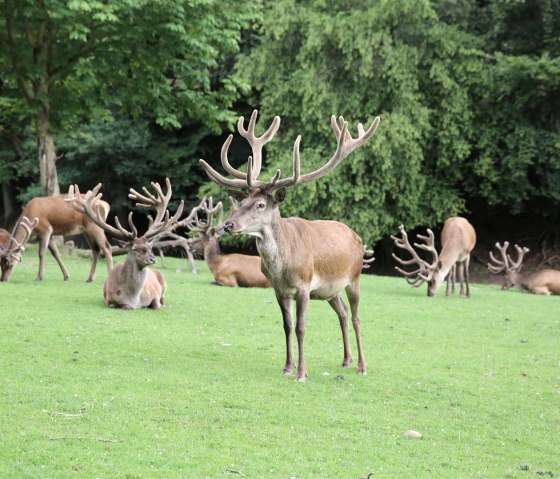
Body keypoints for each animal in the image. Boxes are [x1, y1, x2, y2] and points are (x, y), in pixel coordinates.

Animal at [66, 178, 188, 310]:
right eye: (135, 249)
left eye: (150, 247)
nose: (153, 259)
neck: (134, 298)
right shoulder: (110, 300)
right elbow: (125, 306)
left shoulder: (153, 295)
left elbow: (156, 304)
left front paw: (158, 305)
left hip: (164, 281)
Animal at [199, 109, 378, 382]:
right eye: (242, 202)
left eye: (260, 204)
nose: (228, 225)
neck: (282, 267)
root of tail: (357, 237)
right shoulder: (279, 289)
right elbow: (287, 325)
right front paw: (287, 367)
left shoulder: (304, 286)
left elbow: (301, 327)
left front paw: (301, 373)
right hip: (330, 289)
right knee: (343, 312)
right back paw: (346, 361)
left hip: (355, 277)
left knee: (357, 317)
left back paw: (362, 366)